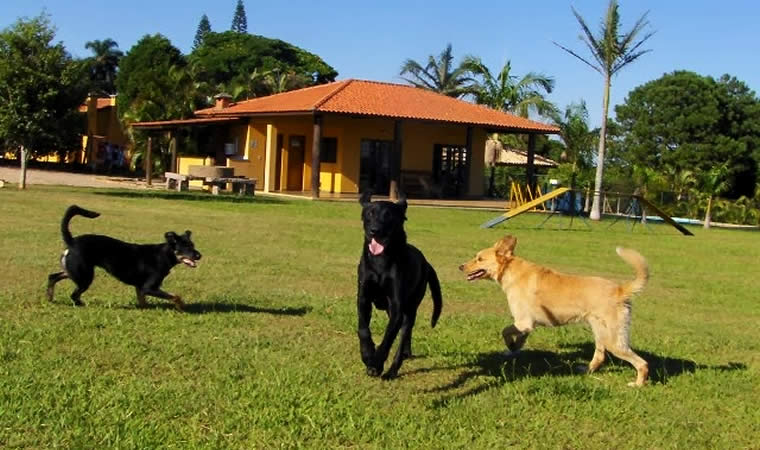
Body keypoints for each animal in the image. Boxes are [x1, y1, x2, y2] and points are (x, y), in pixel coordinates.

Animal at [46, 207, 202, 310]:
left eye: (193, 245)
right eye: (186, 247)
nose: (199, 255)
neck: (164, 255)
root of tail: (72, 241)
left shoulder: (140, 287)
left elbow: (142, 301)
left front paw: (145, 309)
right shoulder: (149, 287)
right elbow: (175, 295)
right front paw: (181, 307)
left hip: (74, 271)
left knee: (53, 276)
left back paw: (50, 297)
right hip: (84, 276)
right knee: (74, 295)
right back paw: (81, 304)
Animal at [358, 192, 442, 378]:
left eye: (389, 215)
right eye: (370, 213)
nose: (375, 230)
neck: (380, 261)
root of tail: (426, 263)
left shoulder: (396, 305)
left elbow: (388, 338)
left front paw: (376, 363)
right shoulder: (363, 298)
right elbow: (363, 329)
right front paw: (367, 354)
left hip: (410, 307)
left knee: (404, 334)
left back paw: (392, 370)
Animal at [460, 236, 652, 386]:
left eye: (479, 259)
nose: (460, 267)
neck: (510, 270)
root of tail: (620, 289)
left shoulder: (522, 322)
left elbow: (505, 331)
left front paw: (510, 346)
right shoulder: (527, 325)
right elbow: (519, 340)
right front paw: (512, 350)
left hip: (614, 341)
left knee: (642, 363)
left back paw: (638, 384)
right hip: (600, 334)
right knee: (600, 357)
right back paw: (586, 370)